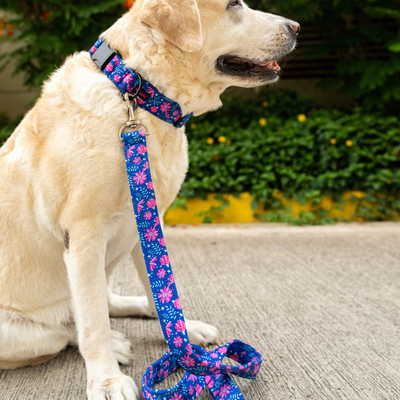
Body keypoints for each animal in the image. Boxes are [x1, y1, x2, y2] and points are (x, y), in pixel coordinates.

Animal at [0, 0, 298, 398]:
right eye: (233, 4)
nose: (296, 27)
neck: (139, 94)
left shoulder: (149, 222)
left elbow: (161, 294)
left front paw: (183, 335)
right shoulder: (83, 237)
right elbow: (91, 324)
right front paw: (106, 379)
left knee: (104, 302)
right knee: (68, 328)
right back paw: (113, 343)